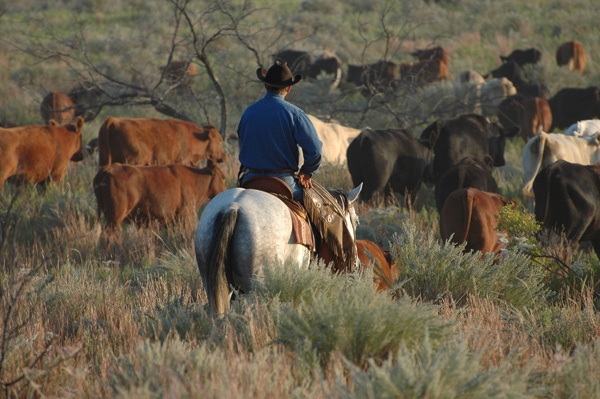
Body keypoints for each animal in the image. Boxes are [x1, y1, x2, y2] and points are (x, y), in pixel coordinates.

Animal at [94, 159, 227, 241]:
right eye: (223, 177)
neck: (194, 180)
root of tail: (107, 169)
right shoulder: (185, 216)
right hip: (115, 216)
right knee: (108, 235)